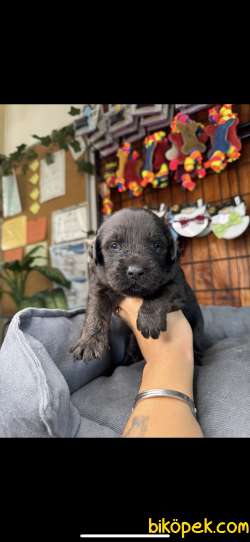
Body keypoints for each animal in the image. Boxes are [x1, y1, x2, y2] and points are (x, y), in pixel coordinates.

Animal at [71, 208, 204, 366]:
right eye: (114, 245)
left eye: (156, 245)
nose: (135, 271)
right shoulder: (99, 285)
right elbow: (95, 311)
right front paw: (89, 342)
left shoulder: (177, 283)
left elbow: (161, 293)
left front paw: (150, 320)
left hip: (197, 326)